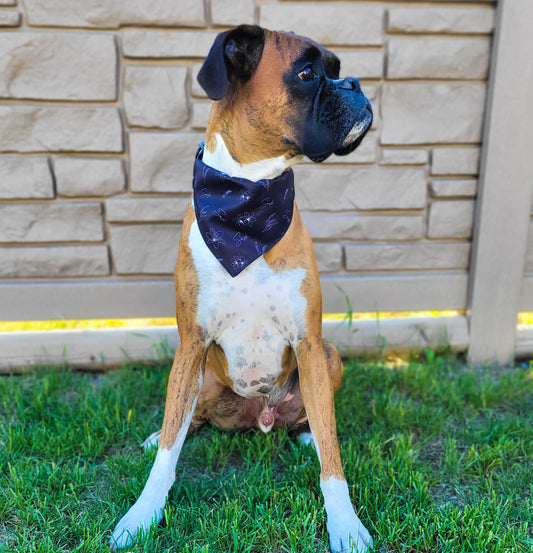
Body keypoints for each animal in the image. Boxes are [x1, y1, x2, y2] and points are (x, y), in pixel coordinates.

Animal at [110, 24, 372, 552]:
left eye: (337, 69)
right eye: (308, 73)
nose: (354, 83)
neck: (248, 204)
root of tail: (260, 418)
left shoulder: (309, 343)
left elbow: (333, 457)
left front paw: (345, 523)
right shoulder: (190, 345)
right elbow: (169, 450)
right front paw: (142, 514)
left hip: (328, 355)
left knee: (312, 419)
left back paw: (306, 433)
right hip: (202, 378)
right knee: (188, 420)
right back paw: (155, 436)